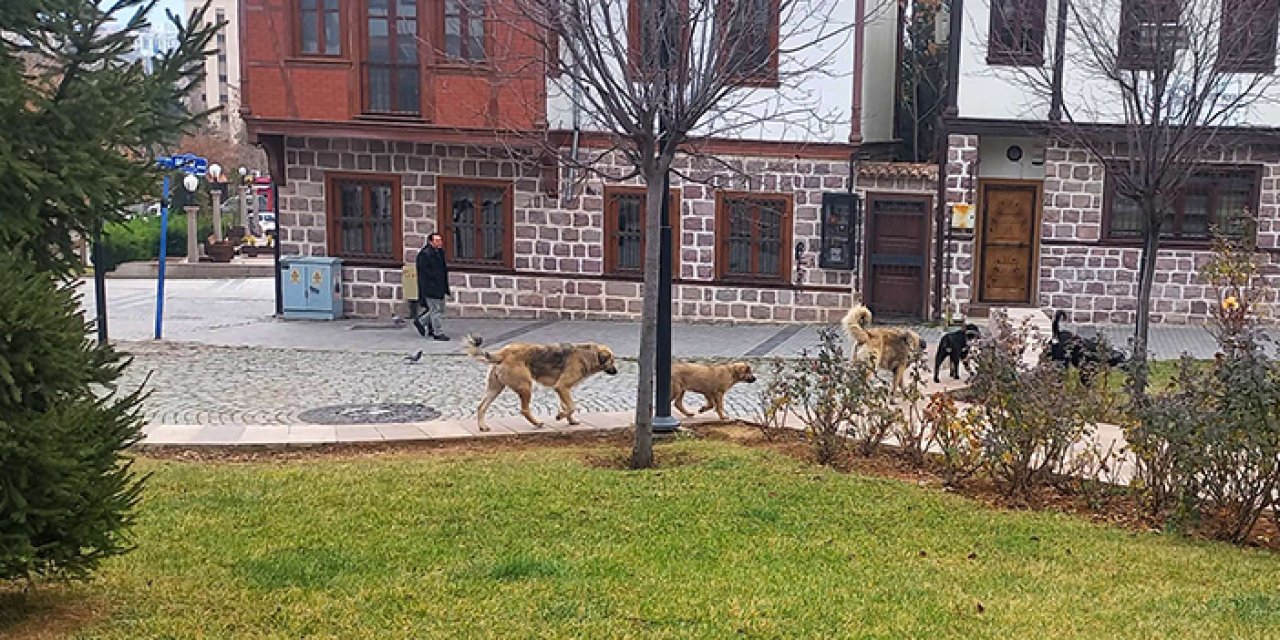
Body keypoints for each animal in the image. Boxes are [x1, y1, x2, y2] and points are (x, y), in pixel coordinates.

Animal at [465, 335, 619, 430]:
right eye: (612, 360)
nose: (616, 371)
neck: (587, 354)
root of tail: (502, 353)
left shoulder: (563, 389)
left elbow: (567, 406)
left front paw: (570, 420)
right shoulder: (562, 386)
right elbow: (572, 406)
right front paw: (560, 416)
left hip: (495, 388)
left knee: (481, 406)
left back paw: (482, 426)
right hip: (526, 386)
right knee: (524, 409)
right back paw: (537, 423)